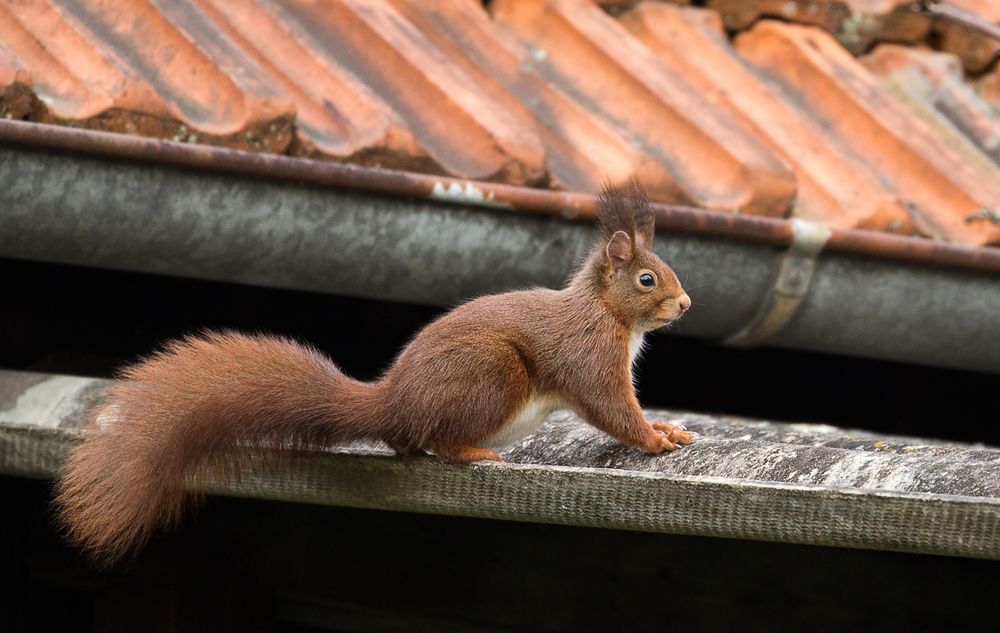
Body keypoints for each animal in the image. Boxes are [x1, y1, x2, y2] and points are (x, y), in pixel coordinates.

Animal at [50, 181, 692, 564]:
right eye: (647, 279)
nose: (686, 305)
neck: (606, 312)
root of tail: (392, 403)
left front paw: (671, 429)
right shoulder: (590, 356)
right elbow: (610, 407)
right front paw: (655, 438)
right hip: (492, 374)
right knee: (436, 442)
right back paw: (473, 453)